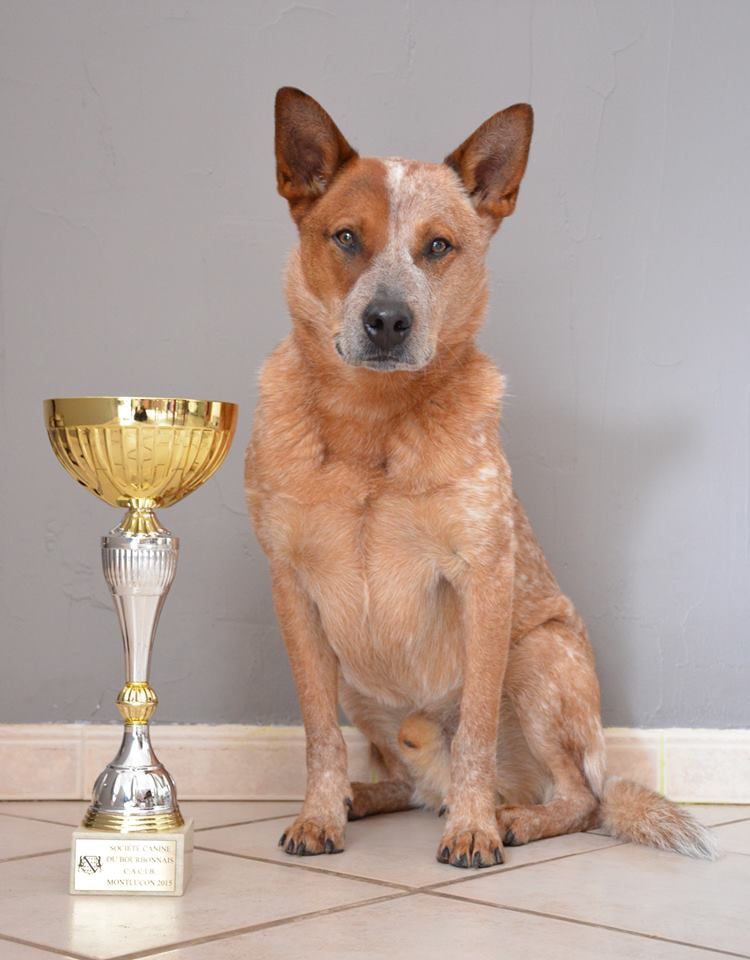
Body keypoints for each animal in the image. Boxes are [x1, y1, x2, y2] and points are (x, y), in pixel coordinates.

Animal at [245, 87, 716, 867]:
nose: (388, 320)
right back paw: (366, 798)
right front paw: (319, 815)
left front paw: (472, 831)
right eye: (345, 238)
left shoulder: (484, 575)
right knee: (404, 781)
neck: (372, 424)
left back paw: (509, 816)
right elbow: (318, 737)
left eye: (438, 246)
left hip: (539, 658)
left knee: (582, 798)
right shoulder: (291, 588)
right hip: (362, 688)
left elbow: (473, 732)